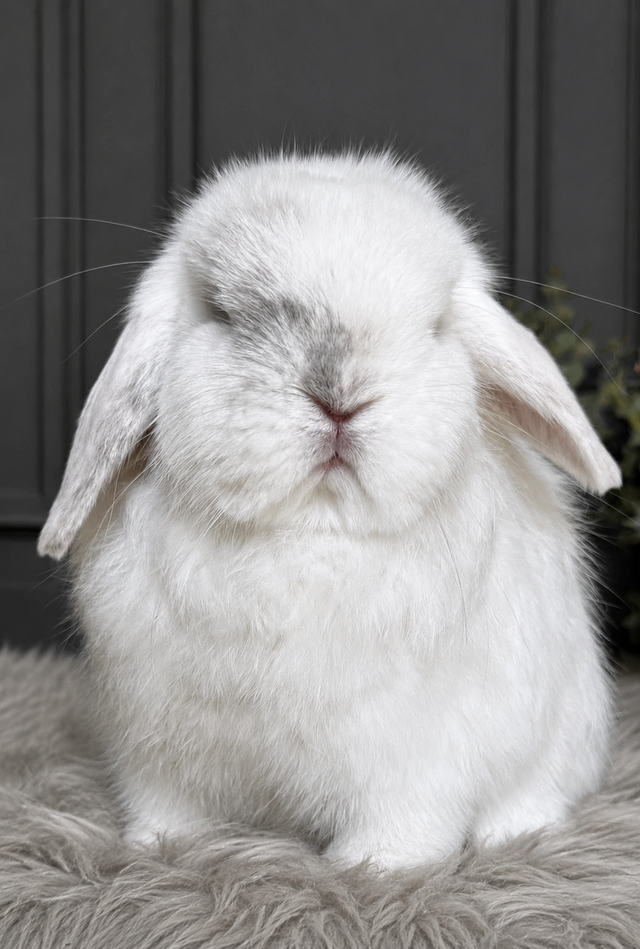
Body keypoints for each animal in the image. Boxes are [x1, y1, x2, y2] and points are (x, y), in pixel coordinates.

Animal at [38, 151, 621, 870]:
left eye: (435, 325)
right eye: (222, 312)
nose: (340, 397)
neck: (314, 529)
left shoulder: (417, 760)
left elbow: (405, 820)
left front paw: (375, 868)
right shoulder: (158, 752)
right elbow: (169, 807)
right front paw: (163, 846)